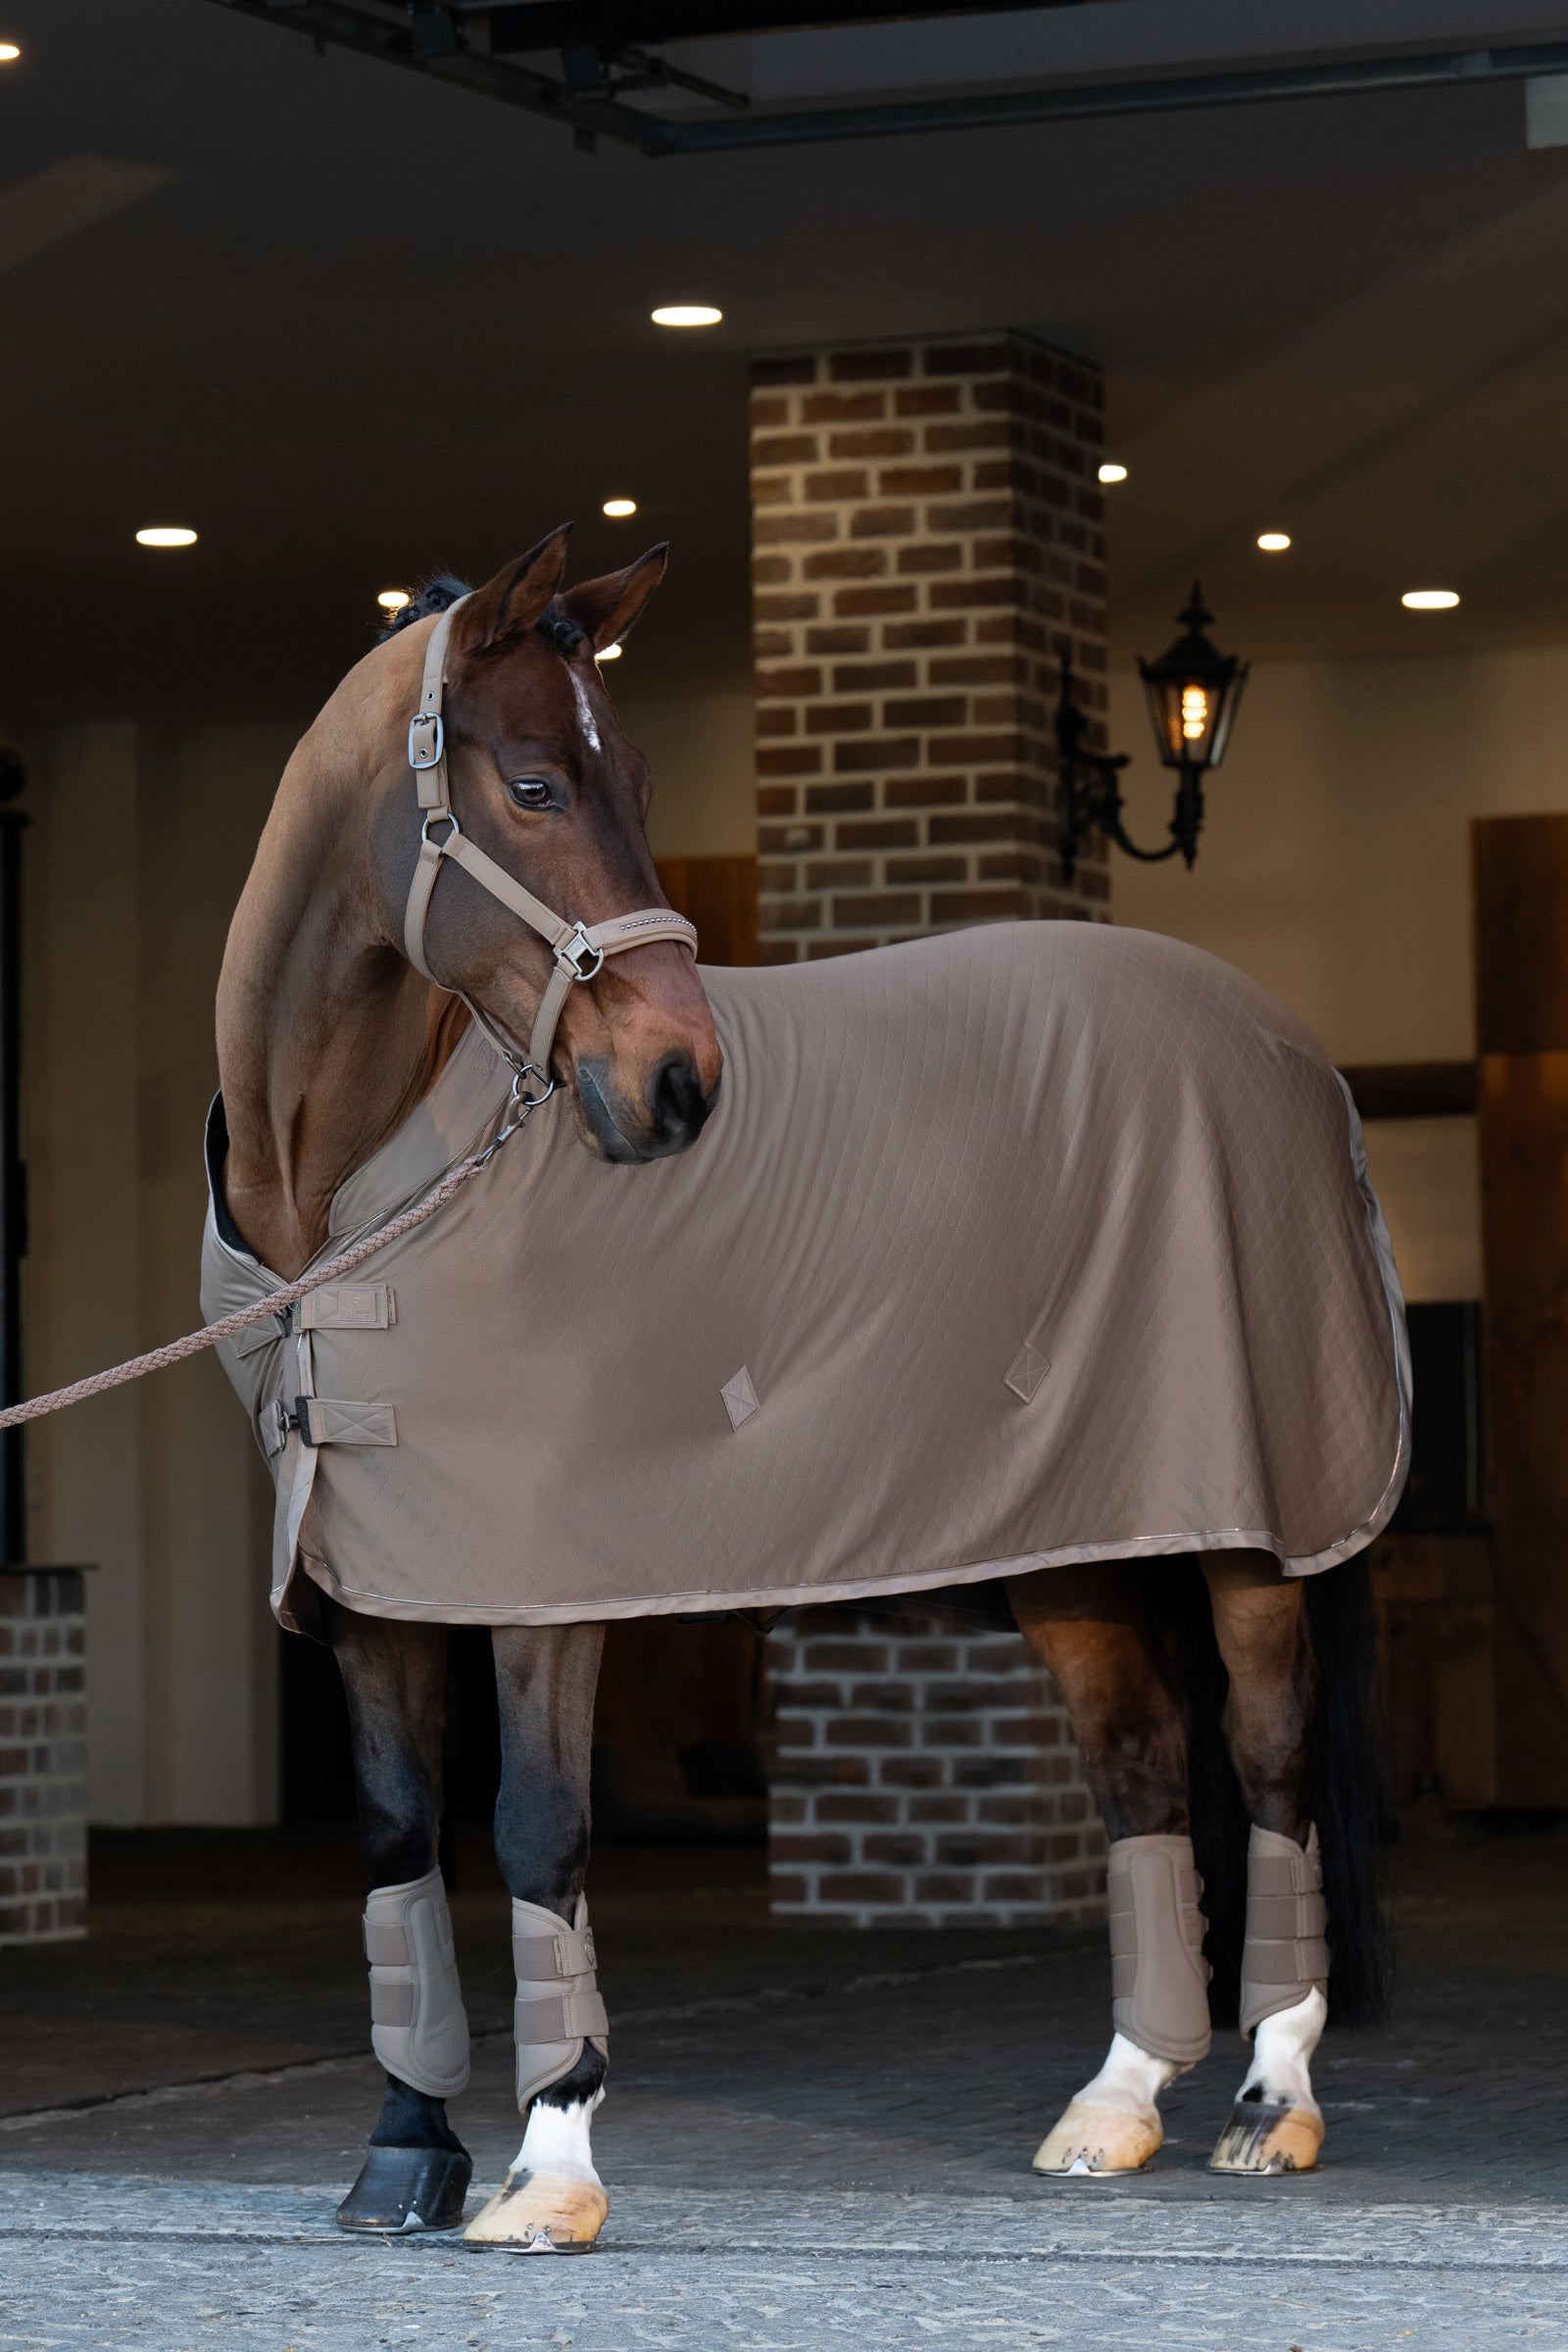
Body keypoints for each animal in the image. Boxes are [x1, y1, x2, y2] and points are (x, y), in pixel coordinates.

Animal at [207, 524, 1398, 2251]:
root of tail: (1292, 1049)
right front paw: (404, 2150)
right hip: (1073, 1542)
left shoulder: (543, 1580)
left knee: (1268, 1760)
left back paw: (1269, 2099)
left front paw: (550, 2167)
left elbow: (537, 1828)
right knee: (1139, 1763)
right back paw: (1115, 2104)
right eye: (535, 785)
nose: (679, 1084)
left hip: (1251, 1529)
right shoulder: (372, 1579)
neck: (347, 1196)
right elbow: (392, 1834)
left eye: (636, 774)